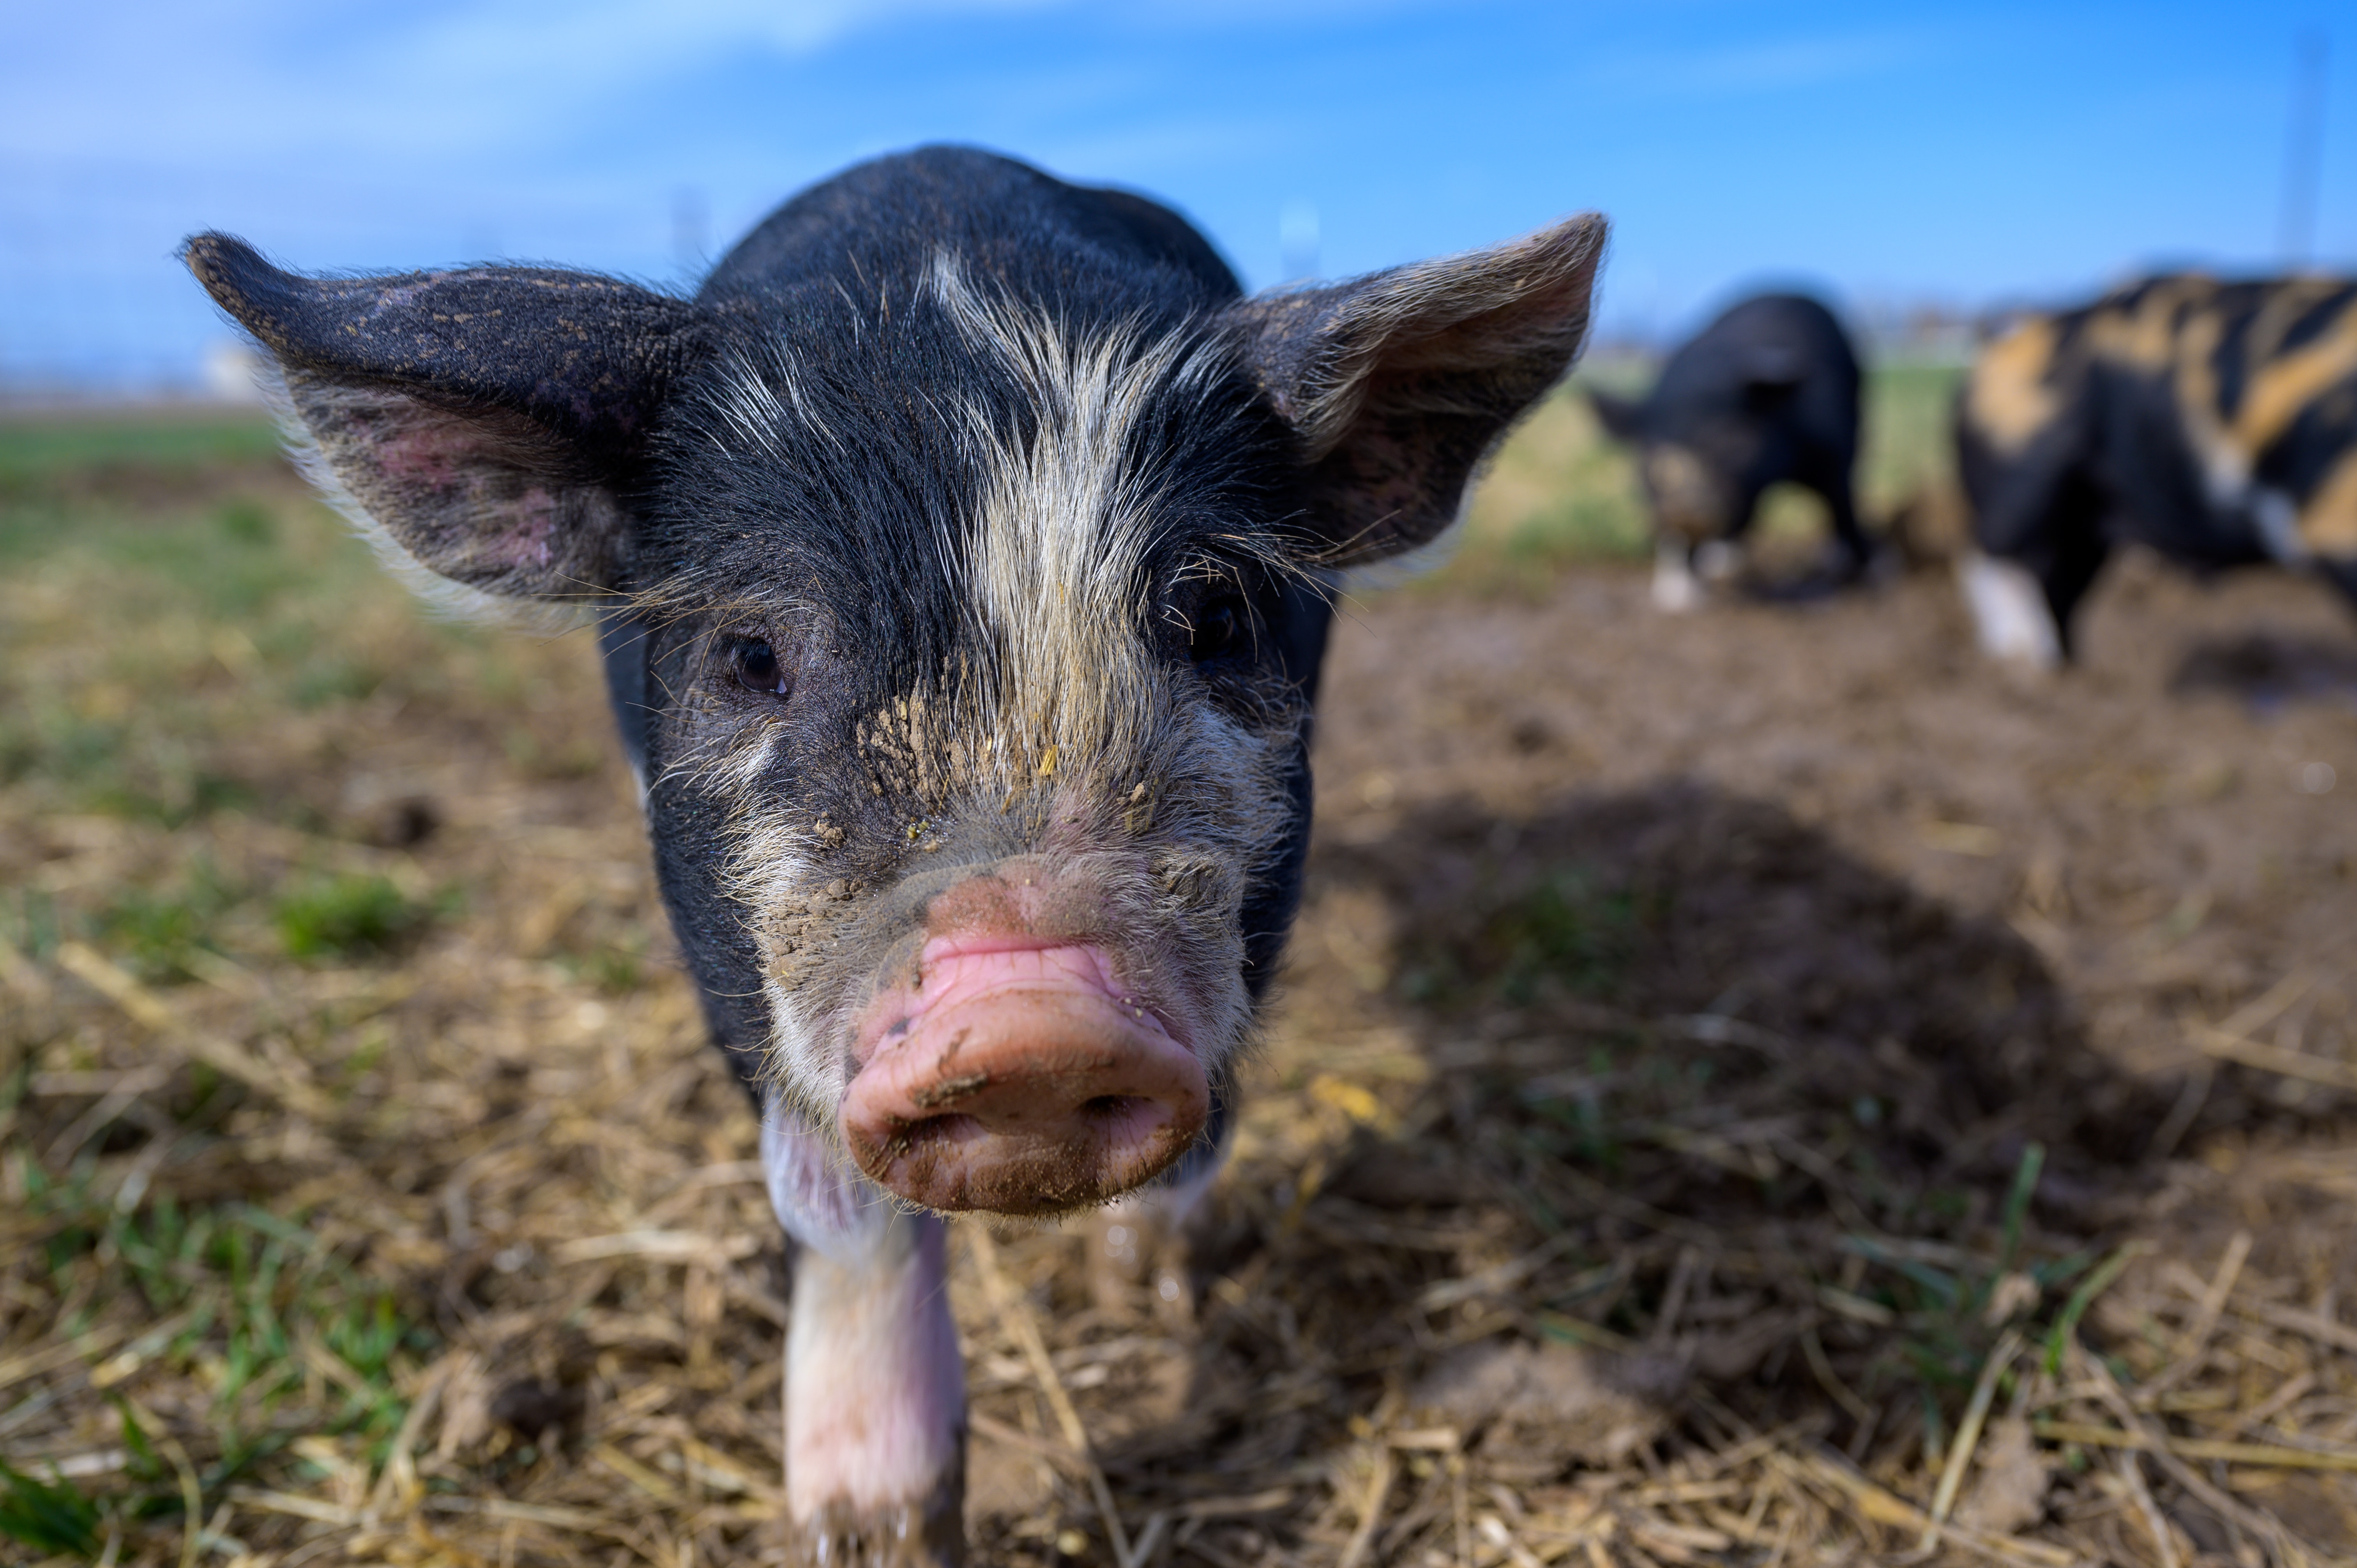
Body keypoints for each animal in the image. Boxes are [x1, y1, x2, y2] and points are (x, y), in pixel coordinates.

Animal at [1951, 272, 2357, 665]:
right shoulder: (2333, 520)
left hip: (2084, 525)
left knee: (2060, 590)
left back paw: (2069, 667)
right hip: (2021, 476)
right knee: (1995, 560)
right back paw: (2023, 662)